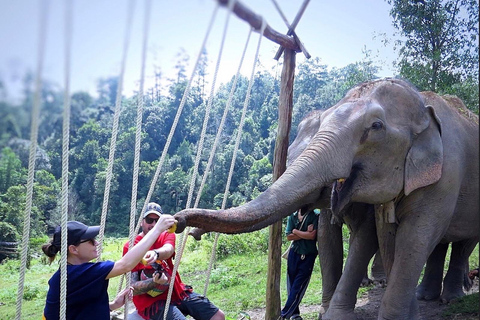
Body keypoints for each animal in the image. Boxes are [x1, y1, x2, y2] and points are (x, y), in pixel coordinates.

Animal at [174, 78, 478, 320]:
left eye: (376, 126)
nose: (182, 224)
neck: (423, 107)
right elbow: (341, 236)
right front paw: (329, 312)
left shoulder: (446, 173)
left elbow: (409, 237)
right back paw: (425, 296)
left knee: (460, 243)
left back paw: (451, 296)